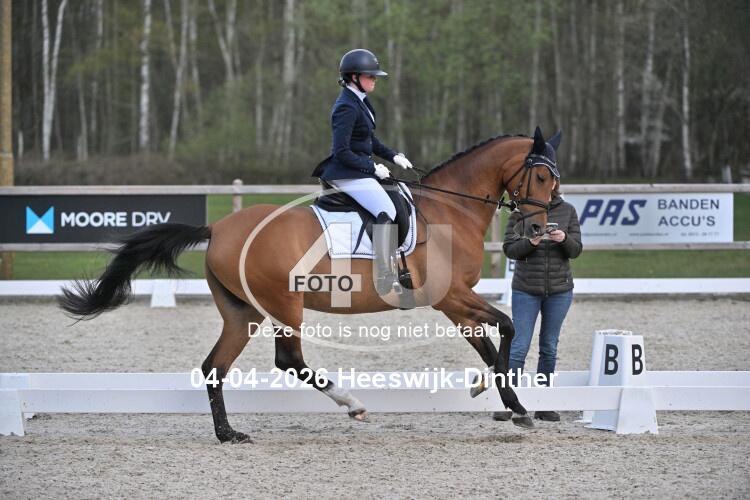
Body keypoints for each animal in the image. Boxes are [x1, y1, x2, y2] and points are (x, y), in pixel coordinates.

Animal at [59, 127, 560, 443]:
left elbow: (489, 346)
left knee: (214, 367)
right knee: (289, 360)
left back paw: (228, 434)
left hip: (243, 312)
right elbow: (509, 327)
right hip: (285, 304)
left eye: (554, 180)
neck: (450, 210)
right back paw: (352, 404)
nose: (539, 231)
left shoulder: (456, 303)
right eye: (539, 176)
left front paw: (505, 400)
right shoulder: (452, 297)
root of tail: (218, 228)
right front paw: (510, 402)